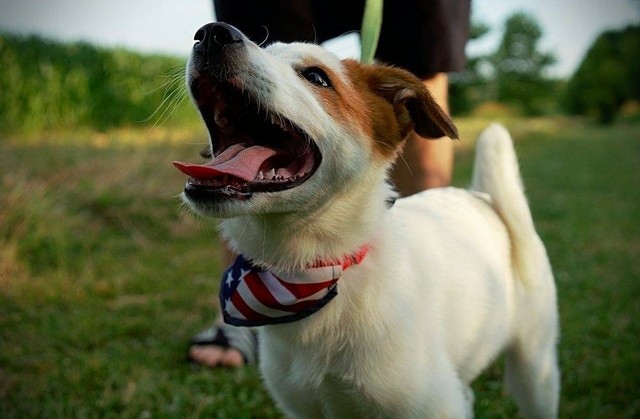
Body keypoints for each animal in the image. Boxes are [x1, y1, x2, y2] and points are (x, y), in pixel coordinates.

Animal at [175, 23, 560, 419]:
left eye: (316, 77)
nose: (212, 34)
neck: (314, 274)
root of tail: (483, 199)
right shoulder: (306, 409)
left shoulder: (434, 407)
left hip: (535, 369)